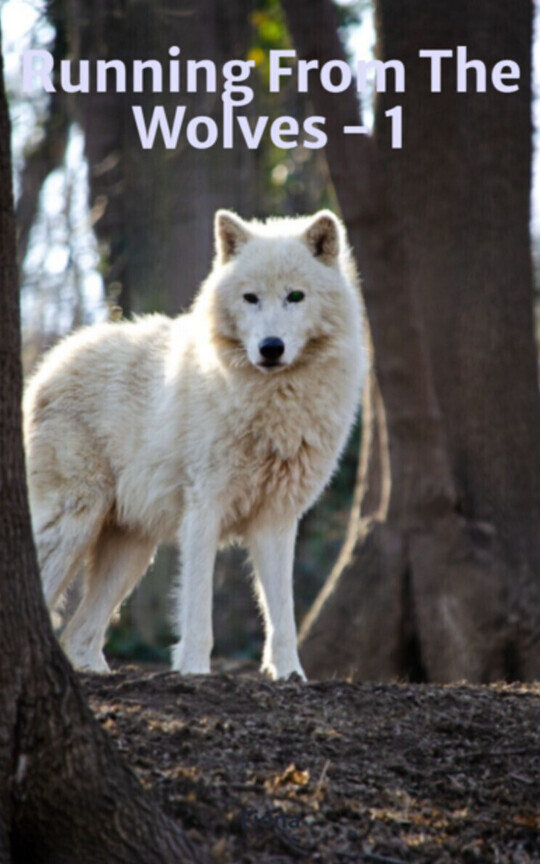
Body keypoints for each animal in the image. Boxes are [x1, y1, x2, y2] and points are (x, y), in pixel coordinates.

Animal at [23, 209, 365, 680]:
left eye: (296, 296)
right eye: (250, 298)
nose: (270, 348)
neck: (273, 402)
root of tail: (49, 361)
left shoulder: (276, 518)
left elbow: (283, 614)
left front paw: (291, 675)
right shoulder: (205, 508)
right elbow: (198, 608)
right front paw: (194, 672)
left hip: (130, 550)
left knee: (78, 635)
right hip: (75, 523)